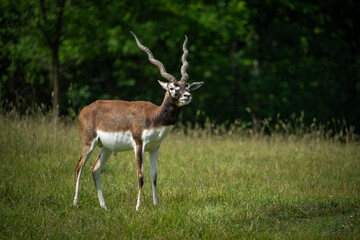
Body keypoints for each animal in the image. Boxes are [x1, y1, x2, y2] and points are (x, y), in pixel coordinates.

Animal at [71, 31, 204, 210]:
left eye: (187, 86)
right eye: (172, 88)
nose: (187, 96)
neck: (154, 116)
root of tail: (85, 109)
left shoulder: (155, 148)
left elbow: (154, 176)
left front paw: (156, 205)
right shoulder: (138, 145)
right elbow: (141, 176)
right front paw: (138, 207)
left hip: (105, 147)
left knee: (94, 169)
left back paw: (104, 206)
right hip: (89, 142)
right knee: (80, 166)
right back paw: (75, 203)